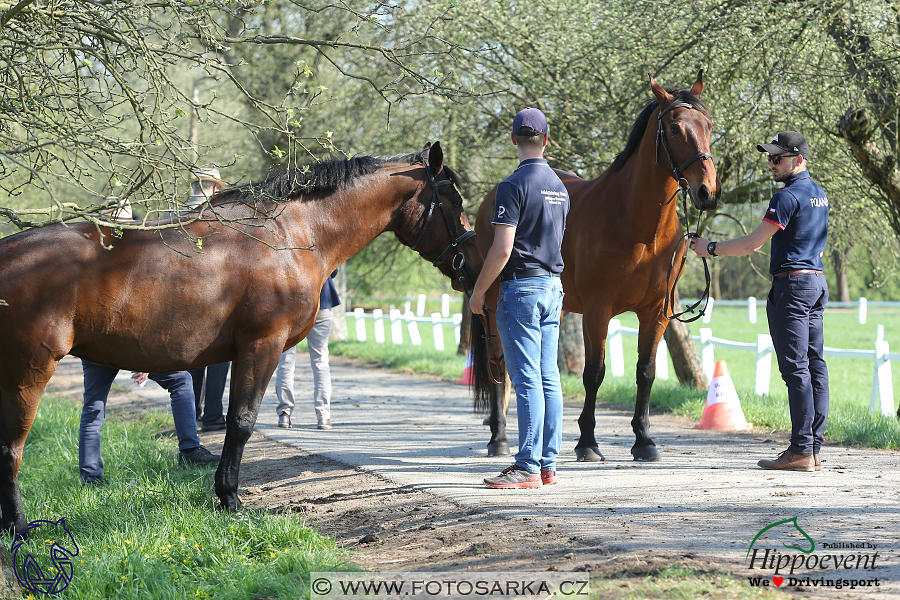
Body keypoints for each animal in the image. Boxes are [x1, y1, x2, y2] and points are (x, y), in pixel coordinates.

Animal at [1, 142, 486, 536]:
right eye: (452, 198)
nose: (475, 262)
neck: (291, 235)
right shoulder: (261, 346)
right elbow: (242, 422)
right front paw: (230, 498)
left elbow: (236, 419)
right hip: (27, 372)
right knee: (11, 449)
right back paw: (20, 529)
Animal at [474, 72, 720, 462]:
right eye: (676, 128)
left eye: (708, 126)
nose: (708, 192)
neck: (640, 228)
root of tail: (490, 200)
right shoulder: (597, 310)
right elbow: (594, 373)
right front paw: (587, 442)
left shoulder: (656, 312)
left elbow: (646, 372)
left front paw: (644, 441)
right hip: (497, 302)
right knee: (501, 364)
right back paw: (498, 438)